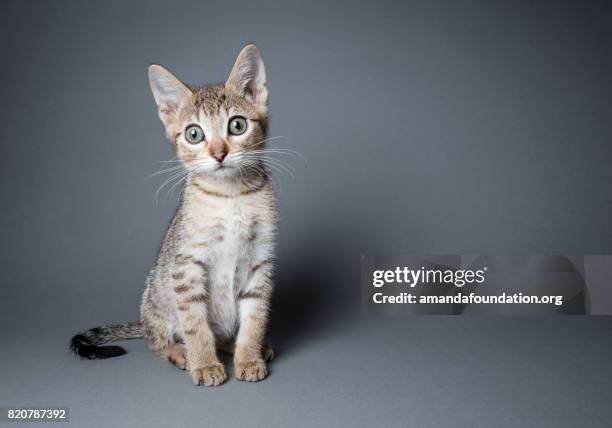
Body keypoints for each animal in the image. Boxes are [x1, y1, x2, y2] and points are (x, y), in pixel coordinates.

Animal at [70, 45, 278, 386]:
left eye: (237, 125)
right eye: (194, 134)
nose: (219, 153)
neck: (231, 196)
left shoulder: (260, 262)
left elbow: (255, 317)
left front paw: (248, 356)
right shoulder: (187, 265)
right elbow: (195, 324)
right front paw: (204, 363)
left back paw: (242, 346)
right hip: (156, 299)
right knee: (156, 340)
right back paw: (181, 352)